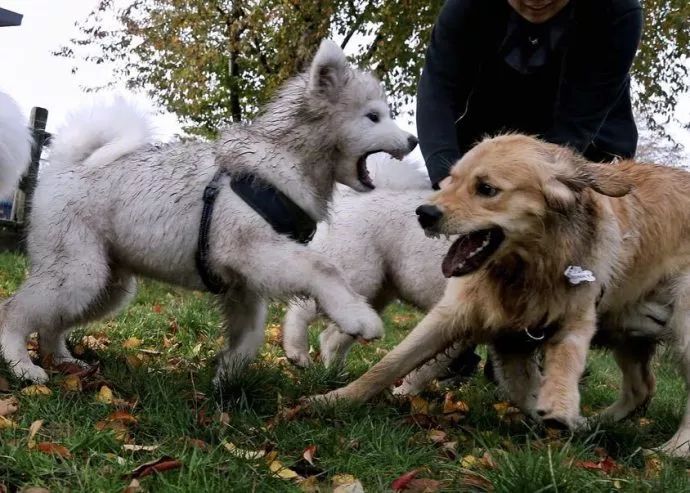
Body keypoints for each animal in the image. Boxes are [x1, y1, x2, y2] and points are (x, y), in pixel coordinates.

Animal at [0, 40, 414, 382]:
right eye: (374, 117)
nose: (413, 140)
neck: (285, 164)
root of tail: (67, 164)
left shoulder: (244, 285)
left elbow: (250, 336)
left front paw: (226, 375)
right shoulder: (258, 252)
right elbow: (323, 268)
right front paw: (358, 316)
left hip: (106, 285)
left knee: (51, 324)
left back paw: (62, 359)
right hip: (77, 273)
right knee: (13, 311)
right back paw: (22, 366)